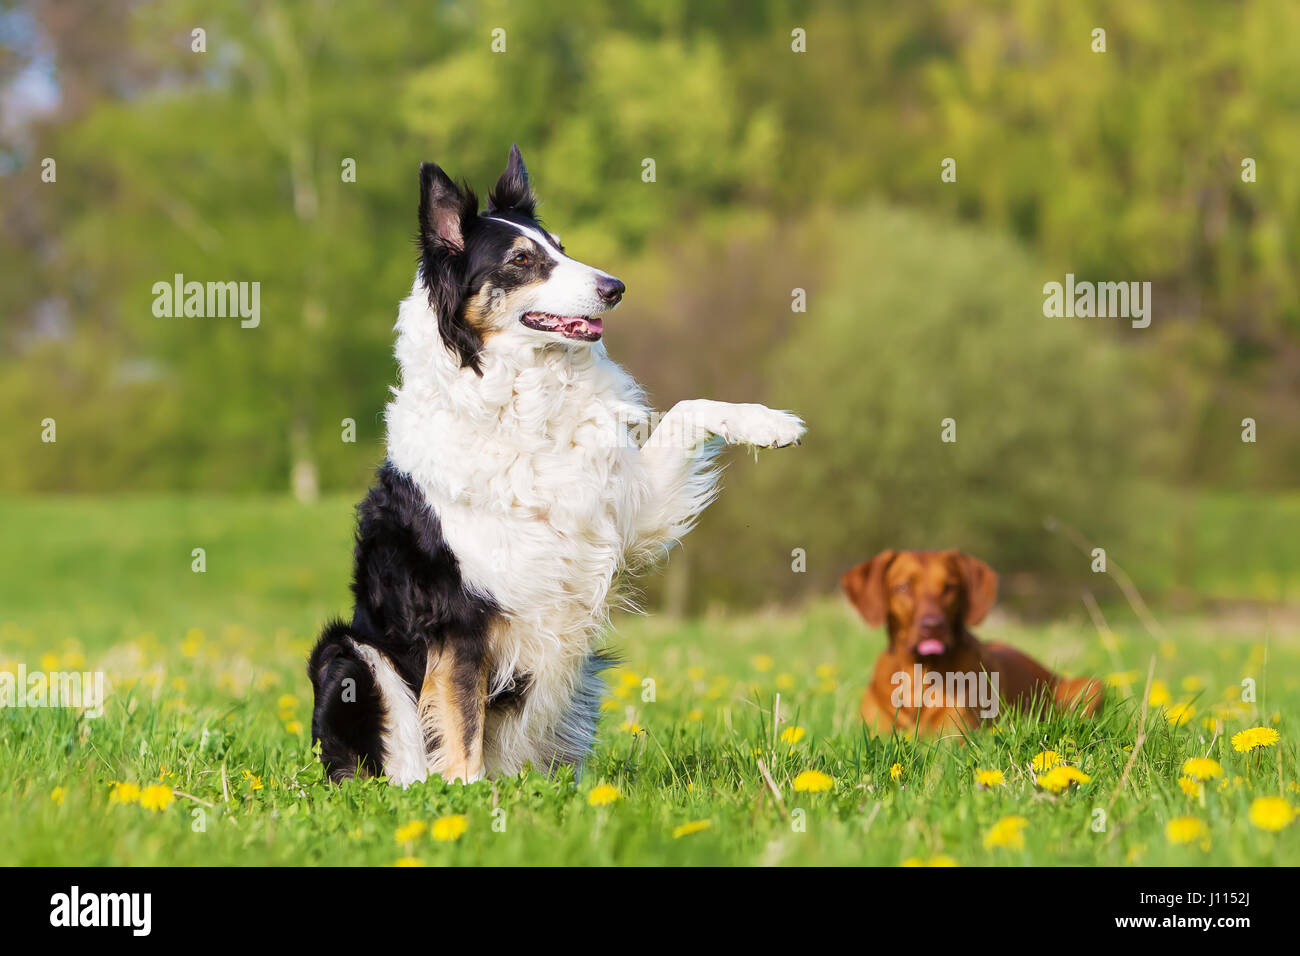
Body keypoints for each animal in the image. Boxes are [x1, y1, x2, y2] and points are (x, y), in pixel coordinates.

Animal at [842, 548, 1107, 738]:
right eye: (903, 587)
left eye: (950, 587)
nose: (933, 626)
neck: (918, 672)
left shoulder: (952, 738)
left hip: (1092, 686)